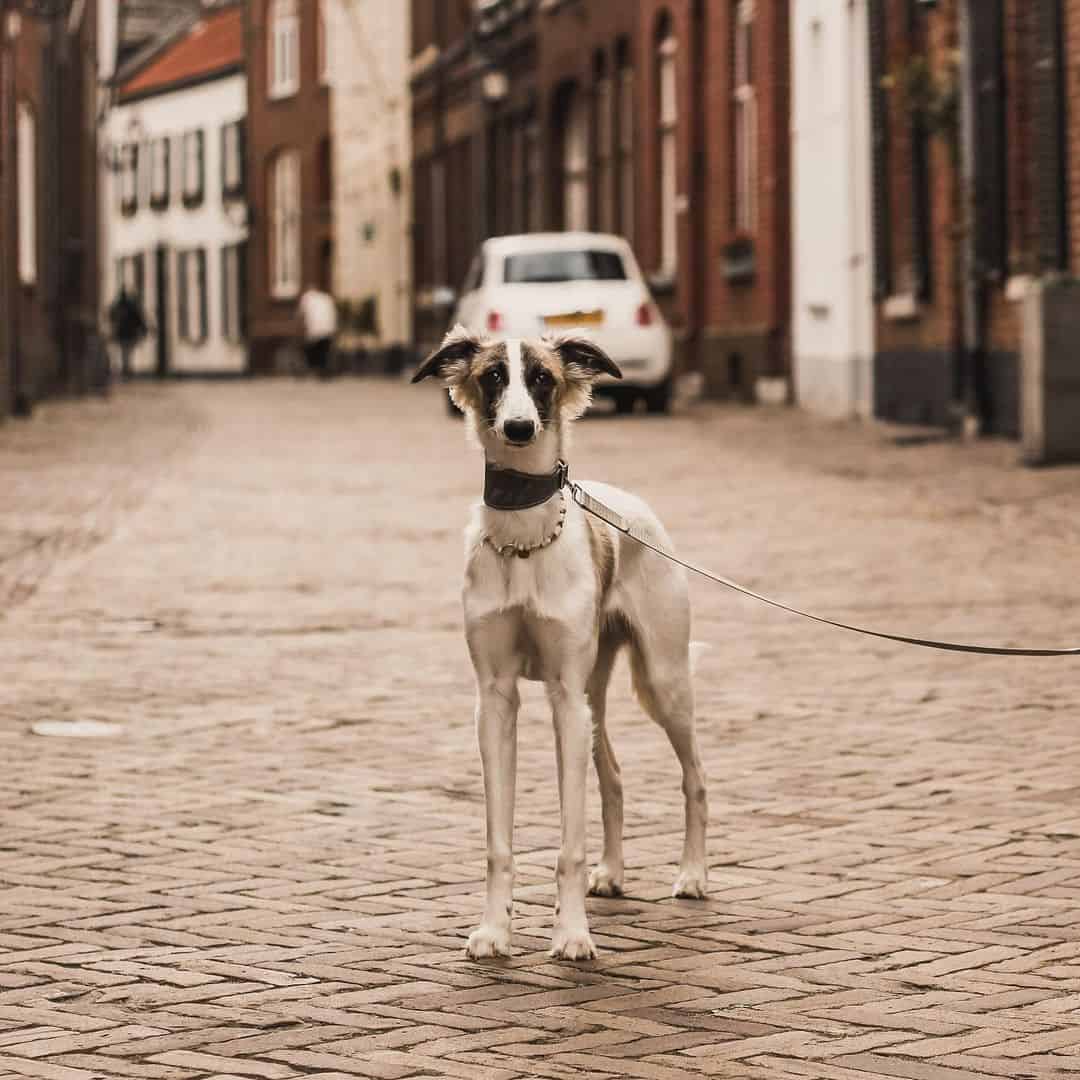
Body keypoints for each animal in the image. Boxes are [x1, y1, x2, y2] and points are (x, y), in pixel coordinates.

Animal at [408, 324, 704, 959]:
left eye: (543, 377)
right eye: (494, 376)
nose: (520, 428)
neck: (523, 540)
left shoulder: (564, 697)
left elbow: (570, 841)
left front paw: (572, 935)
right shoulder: (497, 697)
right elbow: (499, 840)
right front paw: (494, 931)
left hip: (662, 681)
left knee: (695, 778)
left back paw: (693, 875)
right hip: (596, 694)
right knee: (613, 776)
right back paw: (612, 873)